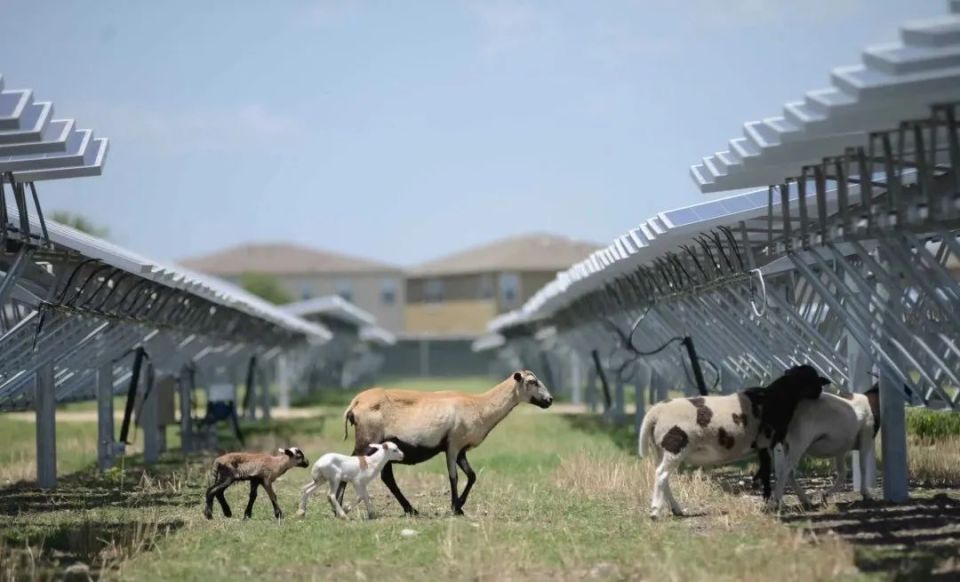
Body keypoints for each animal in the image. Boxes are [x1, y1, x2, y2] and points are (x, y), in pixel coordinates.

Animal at [342, 372, 552, 516]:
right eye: (532, 381)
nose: (549, 400)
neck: (479, 405)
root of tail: (355, 403)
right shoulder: (453, 445)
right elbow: (454, 477)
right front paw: (455, 507)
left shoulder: (461, 450)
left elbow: (472, 476)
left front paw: (459, 505)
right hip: (367, 441)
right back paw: (340, 508)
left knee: (387, 477)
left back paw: (411, 509)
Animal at [636, 364, 824, 520]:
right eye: (814, 379)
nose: (821, 391)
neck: (777, 397)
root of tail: (655, 412)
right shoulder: (771, 441)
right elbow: (779, 472)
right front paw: (776, 502)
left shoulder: (764, 446)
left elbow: (774, 472)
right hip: (675, 446)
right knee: (661, 474)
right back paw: (655, 511)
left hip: (661, 450)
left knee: (663, 477)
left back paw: (676, 509)